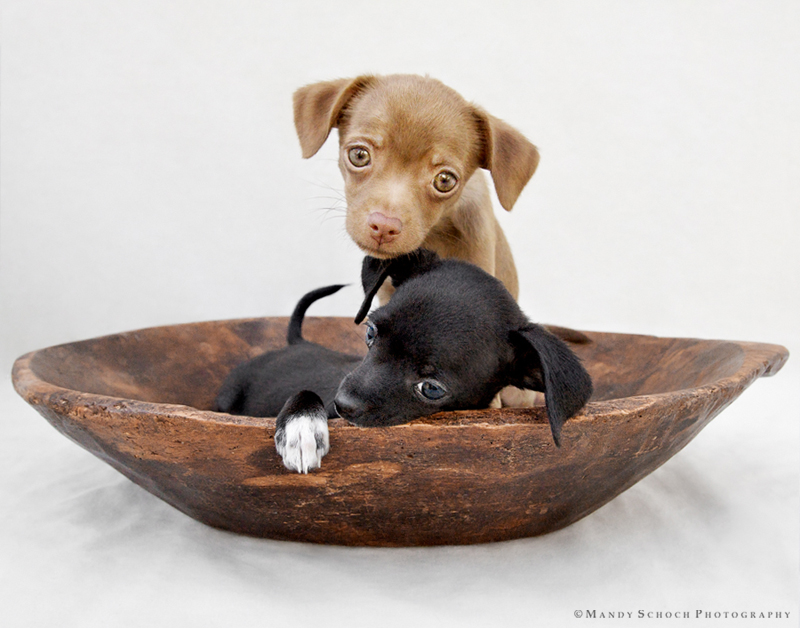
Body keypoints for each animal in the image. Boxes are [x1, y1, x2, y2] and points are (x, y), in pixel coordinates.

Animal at [214, 250, 593, 473]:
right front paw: (301, 428)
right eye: (370, 333)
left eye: (431, 389)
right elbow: (306, 392)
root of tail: (297, 342)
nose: (342, 404)